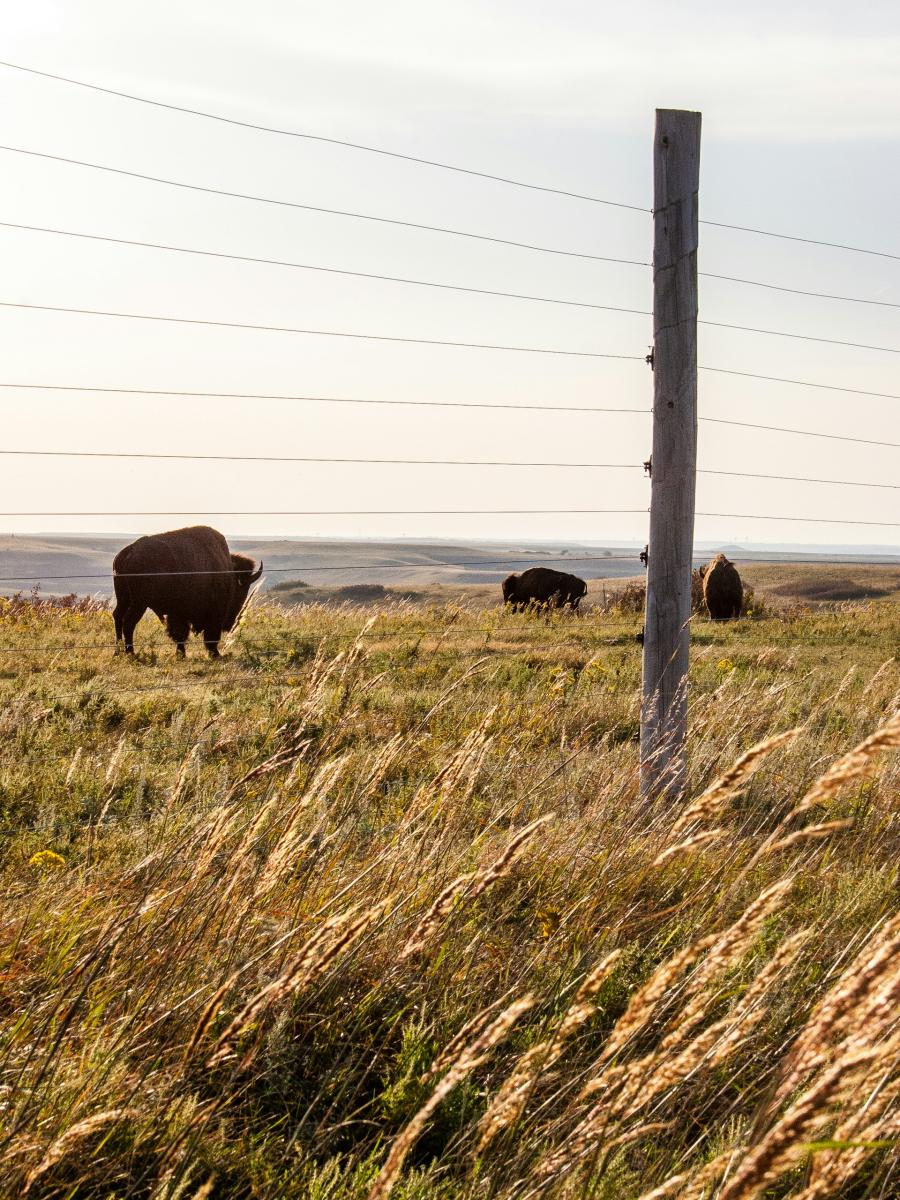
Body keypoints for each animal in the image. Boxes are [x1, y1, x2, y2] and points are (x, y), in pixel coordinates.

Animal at [111, 525, 262, 657]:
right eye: (241, 590)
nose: (232, 622)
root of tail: (127, 553)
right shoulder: (208, 614)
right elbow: (202, 635)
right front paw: (214, 654)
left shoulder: (177, 613)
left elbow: (180, 634)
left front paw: (181, 654)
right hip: (139, 603)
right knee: (129, 622)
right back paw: (130, 652)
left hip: (124, 598)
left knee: (118, 616)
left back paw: (118, 651)